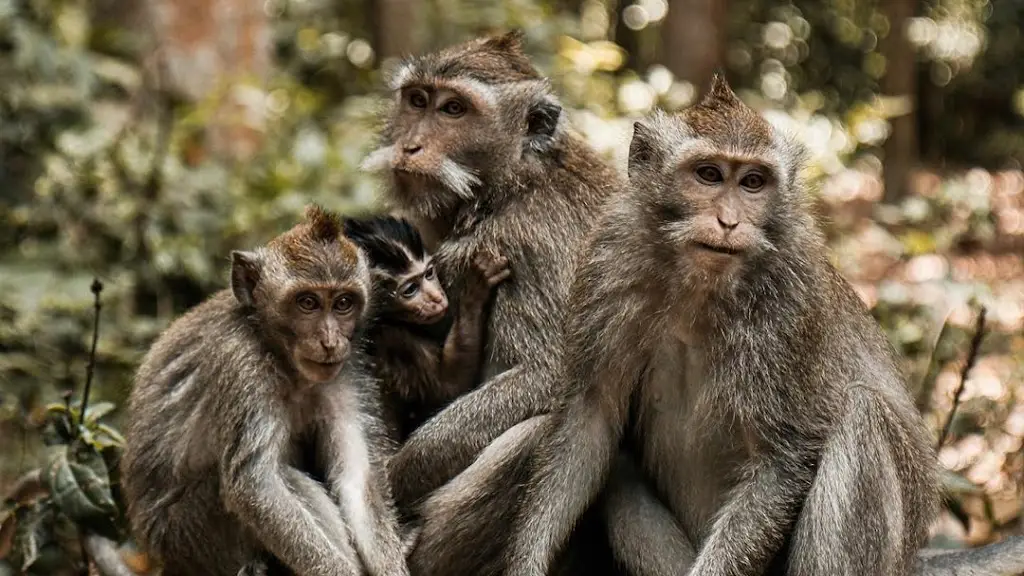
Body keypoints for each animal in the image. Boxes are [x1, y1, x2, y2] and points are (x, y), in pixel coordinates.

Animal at [344, 215, 512, 444]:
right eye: (410, 290)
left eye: (429, 274)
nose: (437, 298)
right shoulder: (395, 340)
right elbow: (449, 388)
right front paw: (473, 290)